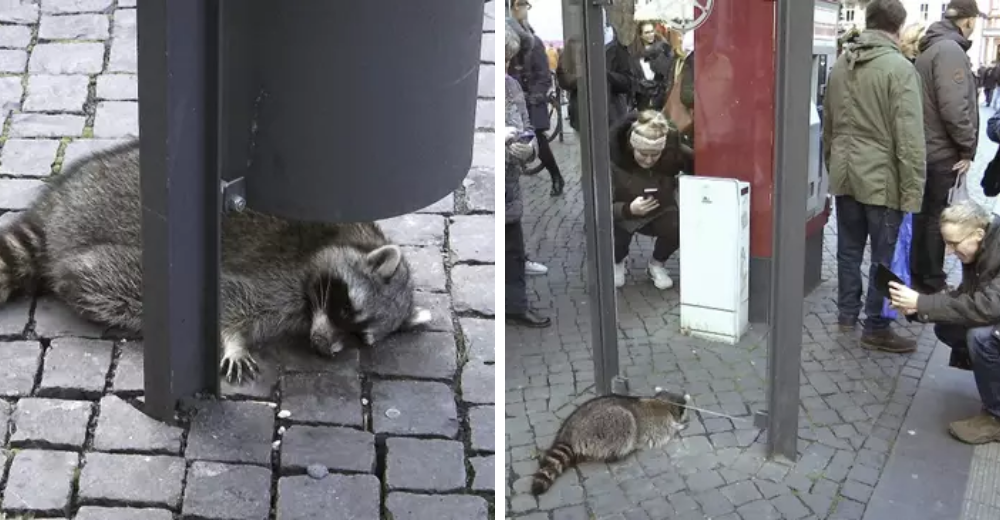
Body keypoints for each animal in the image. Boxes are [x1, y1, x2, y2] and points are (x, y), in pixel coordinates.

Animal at [0, 140, 430, 384]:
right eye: (344, 308)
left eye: (359, 336)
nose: (324, 347)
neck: (350, 239)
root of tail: (58, 205)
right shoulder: (284, 275)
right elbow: (230, 299)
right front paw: (234, 340)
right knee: (110, 280)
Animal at [532, 386, 688, 496]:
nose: (685, 418)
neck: (664, 402)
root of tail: (570, 431)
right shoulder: (660, 425)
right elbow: (666, 433)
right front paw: (679, 427)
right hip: (610, 425)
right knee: (626, 424)